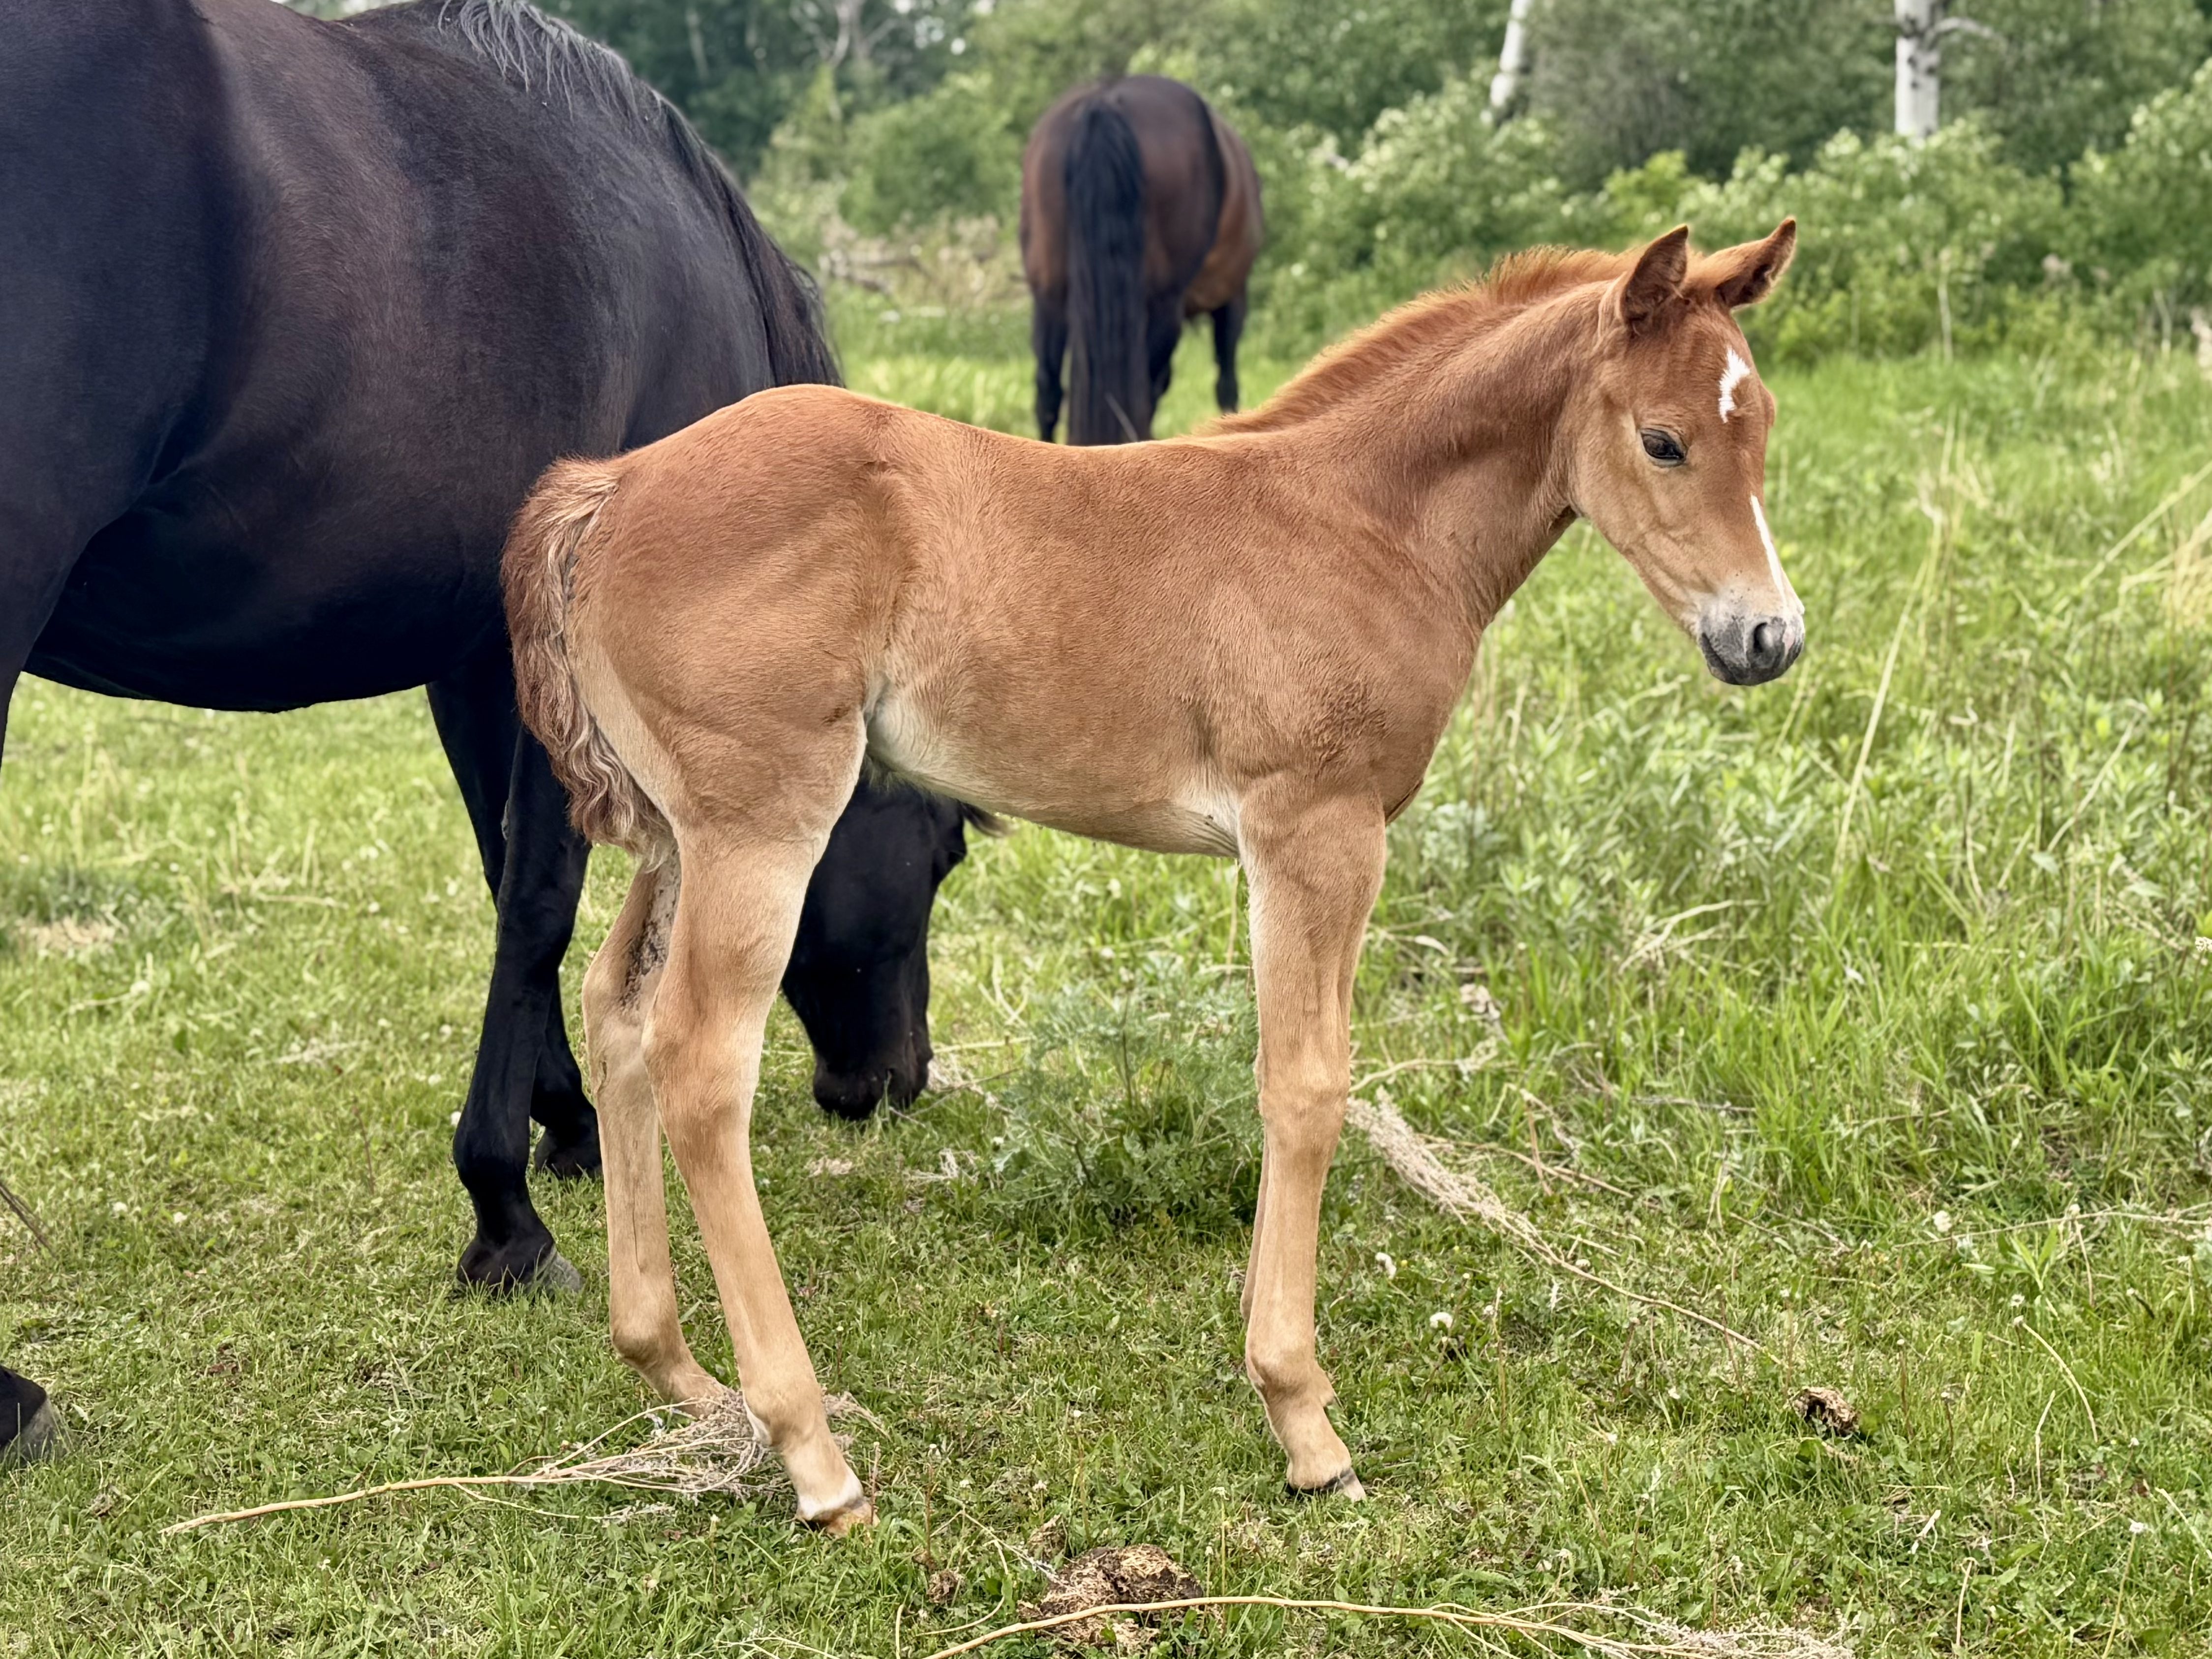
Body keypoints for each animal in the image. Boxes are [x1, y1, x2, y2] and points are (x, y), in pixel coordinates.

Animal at [0, 0, 973, 1458]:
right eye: (940, 853)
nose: (895, 1081)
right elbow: (543, 899)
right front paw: (506, 1213)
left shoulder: (479, 653)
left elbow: (511, 880)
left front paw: (567, 1124)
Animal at [502, 219, 1804, 1528]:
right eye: (1662, 438)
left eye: (1762, 428)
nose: (1769, 638)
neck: (1366, 524)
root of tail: (609, 489)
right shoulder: (1314, 830)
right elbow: (1308, 1087)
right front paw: (1303, 1418)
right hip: (762, 822)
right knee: (701, 1060)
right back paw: (811, 1450)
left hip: (678, 833)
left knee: (616, 1010)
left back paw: (679, 1370)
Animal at [1022, 76, 1265, 445]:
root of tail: (1106, 102)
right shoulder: (1232, 299)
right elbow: (1226, 384)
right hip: (1165, 304)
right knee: (1150, 391)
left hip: (1047, 293)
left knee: (1047, 390)